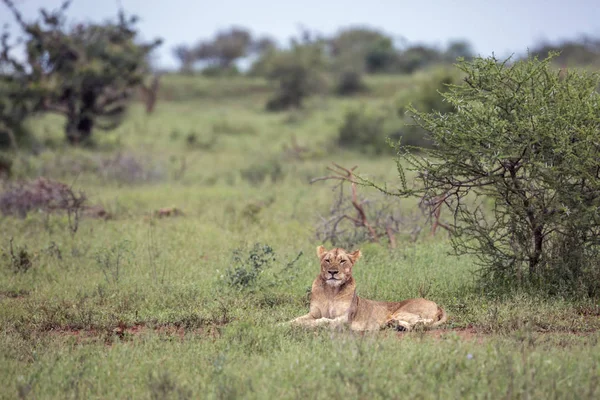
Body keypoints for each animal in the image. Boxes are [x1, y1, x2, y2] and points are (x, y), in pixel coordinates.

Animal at [288, 247, 448, 332]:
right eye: (327, 260)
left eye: (342, 261)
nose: (332, 272)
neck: (331, 292)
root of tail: (437, 304)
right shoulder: (313, 313)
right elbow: (296, 319)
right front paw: (284, 324)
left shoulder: (345, 318)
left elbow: (322, 321)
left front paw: (305, 325)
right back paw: (396, 325)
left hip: (401, 311)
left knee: (424, 321)